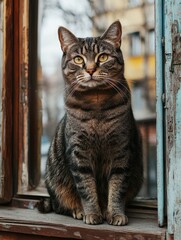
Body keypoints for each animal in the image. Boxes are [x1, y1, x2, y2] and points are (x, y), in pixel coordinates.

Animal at [38, 20, 143, 225]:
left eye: (102, 57)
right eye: (78, 59)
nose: (91, 69)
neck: (96, 104)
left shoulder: (121, 149)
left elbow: (117, 188)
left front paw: (115, 213)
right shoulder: (79, 153)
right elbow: (86, 189)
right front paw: (92, 213)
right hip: (56, 184)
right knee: (60, 206)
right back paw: (78, 210)